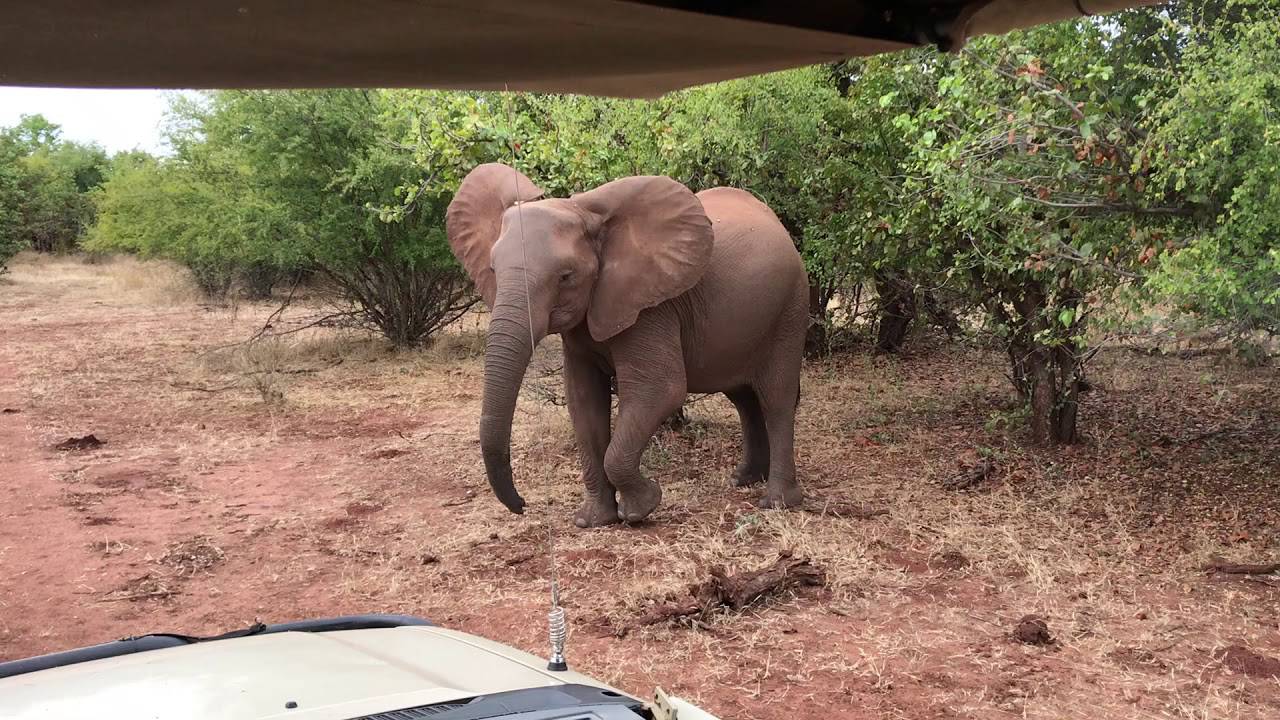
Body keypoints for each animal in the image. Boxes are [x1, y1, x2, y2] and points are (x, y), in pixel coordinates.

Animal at [445, 162, 803, 525]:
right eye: (492, 270)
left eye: (566, 277)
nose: (522, 505)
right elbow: (583, 399)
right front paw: (593, 521)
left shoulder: (652, 308)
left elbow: (660, 390)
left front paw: (641, 507)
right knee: (743, 397)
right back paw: (743, 479)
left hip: (789, 309)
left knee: (776, 398)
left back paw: (777, 502)